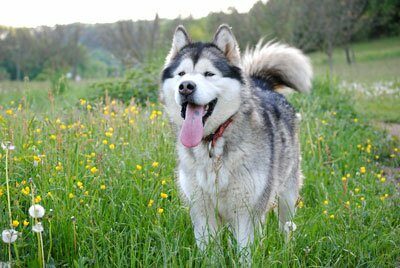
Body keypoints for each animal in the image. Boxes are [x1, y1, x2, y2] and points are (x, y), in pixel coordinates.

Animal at [159, 24, 312, 255]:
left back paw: (287, 252)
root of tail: (261, 84)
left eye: (209, 74)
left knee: (286, 227)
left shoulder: (247, 212)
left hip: (286, 195)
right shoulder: (202, 211)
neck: (213, 142)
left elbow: (245, 253)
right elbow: (210, 253)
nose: (185, 86)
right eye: (181, 74)